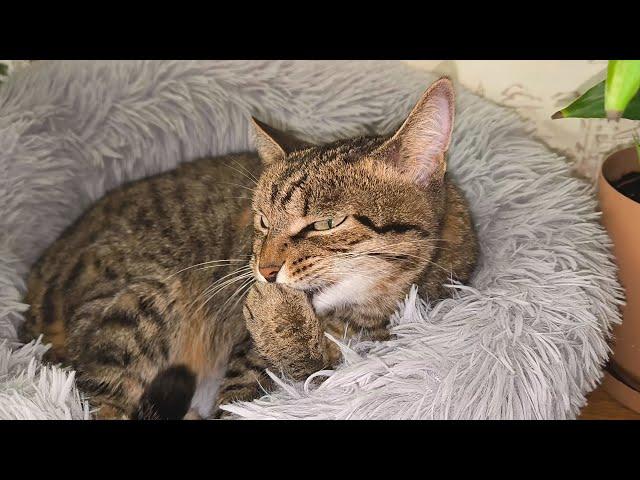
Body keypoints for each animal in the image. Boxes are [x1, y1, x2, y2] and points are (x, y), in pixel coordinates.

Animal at [18, 77, 476, 418]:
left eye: (326, 224)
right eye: (262, 221)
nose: (265, 271)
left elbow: (319, 371)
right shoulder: (246, 370)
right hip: (143, 299)